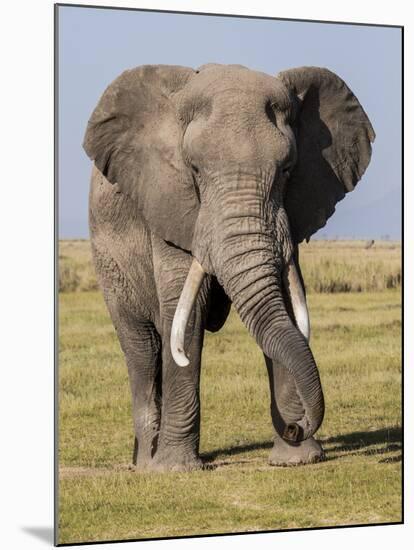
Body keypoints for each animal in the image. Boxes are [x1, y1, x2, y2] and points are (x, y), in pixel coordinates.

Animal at [82, 62, 374, 472]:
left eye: (287, 169)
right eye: (194, 170)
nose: (296, 427)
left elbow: (283, 303)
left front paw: (298, 460)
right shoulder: (171, 204)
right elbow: (185, 315)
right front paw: (176, 471)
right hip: (107, 259)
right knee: (142, 348)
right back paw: (147, 464)